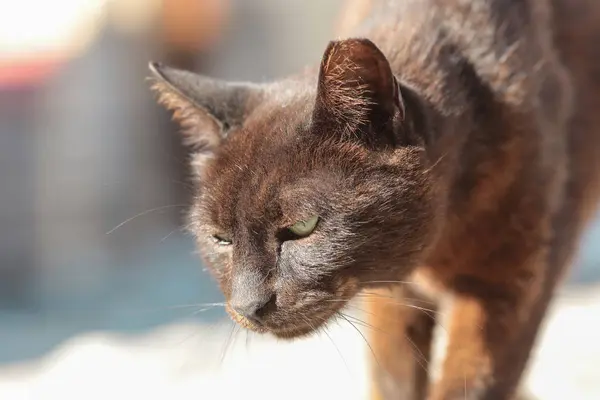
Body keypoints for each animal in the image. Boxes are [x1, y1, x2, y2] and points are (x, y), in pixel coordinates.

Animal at [148, 0, 600, 398]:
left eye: (302, 228)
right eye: (221, 239)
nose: (248, 306)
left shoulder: (509, 283)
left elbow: (472, 382)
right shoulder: (390, 298)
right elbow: (394, 381)